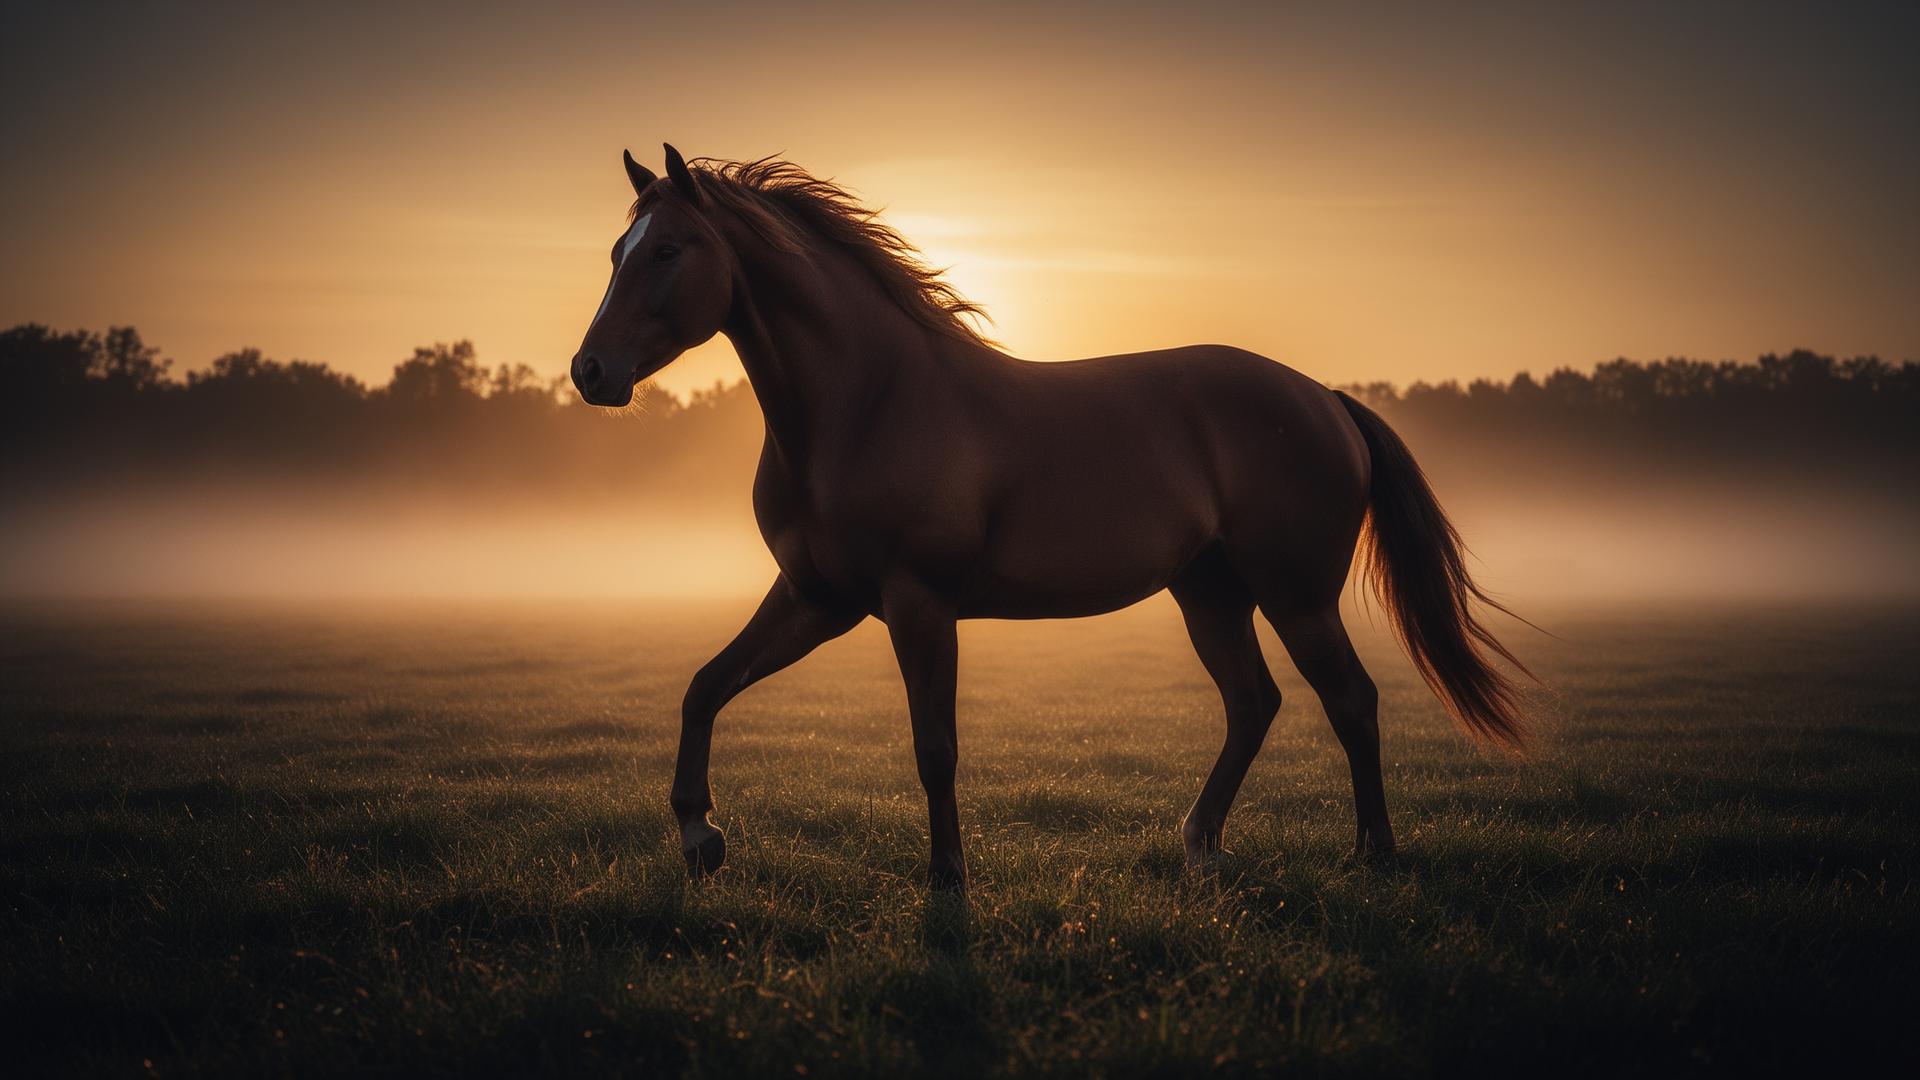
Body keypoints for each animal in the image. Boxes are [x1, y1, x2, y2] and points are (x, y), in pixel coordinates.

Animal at [570, 145, 1531, 889]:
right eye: (619, 250)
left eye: (669, 250)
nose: (591, 372)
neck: (866, 403)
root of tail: (1325, 399)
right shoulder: (817, 598)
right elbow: (705, 685)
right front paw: (700, 838)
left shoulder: (918, 605)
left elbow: (935, 746)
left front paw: (947, 878)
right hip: (1210, 593)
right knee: (1254, 703)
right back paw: (1201, 846)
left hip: (1297, 597)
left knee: (1350, 700)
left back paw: (1374, 854)